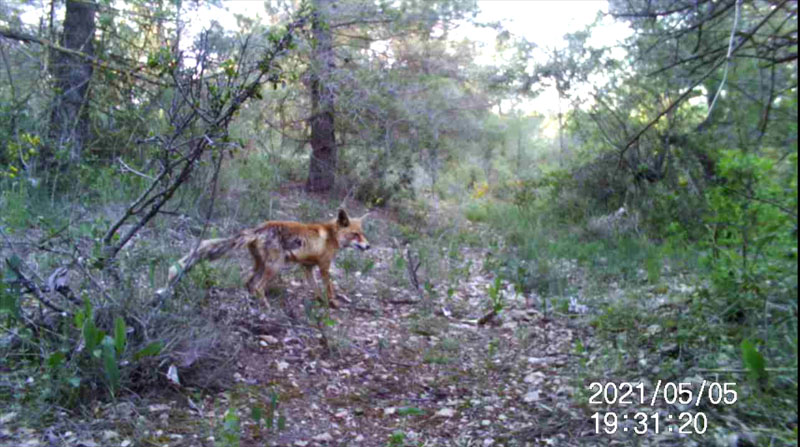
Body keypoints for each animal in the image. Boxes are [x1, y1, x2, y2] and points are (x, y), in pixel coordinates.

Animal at [167, 209, 374, 308]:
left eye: (363, 234)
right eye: (356, 235)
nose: (368, 246)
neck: (331, 235)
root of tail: (259, 228)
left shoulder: (307, 267)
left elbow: (315, 288)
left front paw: (321, 301)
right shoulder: (324, 267)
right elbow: (329, 288)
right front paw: (333, 303)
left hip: (261, 265)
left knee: (249, 283)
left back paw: (253, 303)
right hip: (275, 267)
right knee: (258, 286)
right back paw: (266, 306)